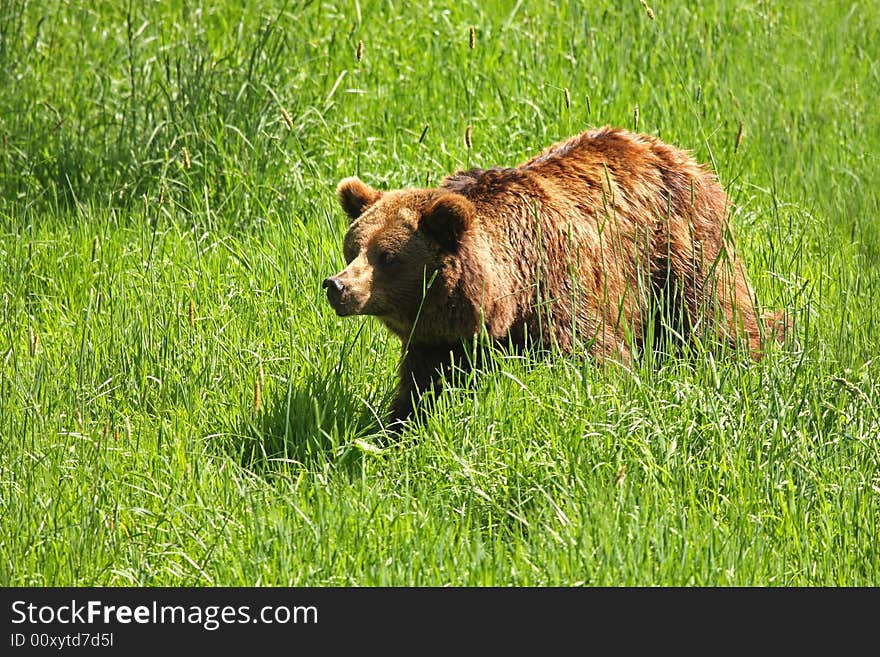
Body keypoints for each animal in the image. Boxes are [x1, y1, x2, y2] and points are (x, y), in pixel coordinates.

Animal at [324, 127, 784, 426]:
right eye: (353, 248)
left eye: (387, 257)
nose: (337, 286)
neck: (506, 298)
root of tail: (674, 152)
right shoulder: (442, 341)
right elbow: (422, 390)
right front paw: (396, 428)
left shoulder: (560, 294)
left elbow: (596, 360)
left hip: (680, 247)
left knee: (713, 318)